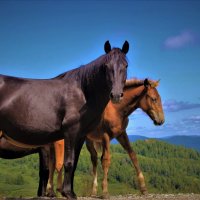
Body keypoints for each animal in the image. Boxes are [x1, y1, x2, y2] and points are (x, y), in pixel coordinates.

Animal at [0, 41, 129, 200]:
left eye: (125, 66)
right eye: (106, 66)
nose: (116, 95)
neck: (82, 91)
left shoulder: (80, 135)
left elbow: (74, 163)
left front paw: (70, 192)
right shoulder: (70, 133)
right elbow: (68, 162)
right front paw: (67, 193)